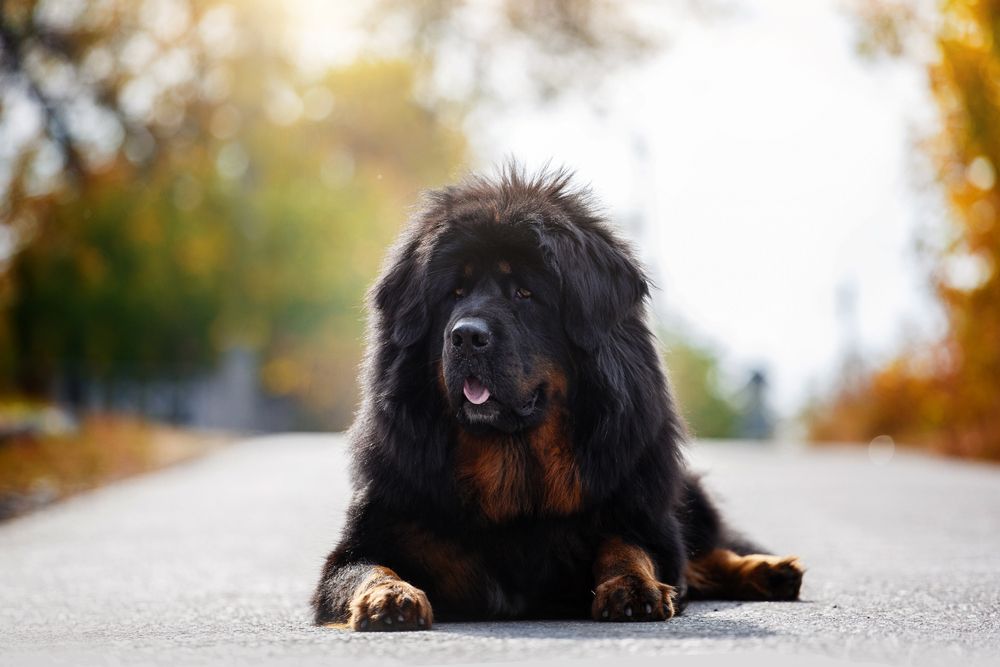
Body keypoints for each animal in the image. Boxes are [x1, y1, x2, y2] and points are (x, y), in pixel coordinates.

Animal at [312, 167, 804, 632]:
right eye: (454, 293)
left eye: (525, 293)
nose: (466, 336)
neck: (513, 468)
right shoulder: (369, 537)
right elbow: (368, 569)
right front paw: (390, 598)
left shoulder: (642, 516)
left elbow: (629, 547)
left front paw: (633, 587)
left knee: (708, 550)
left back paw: (770, 570)